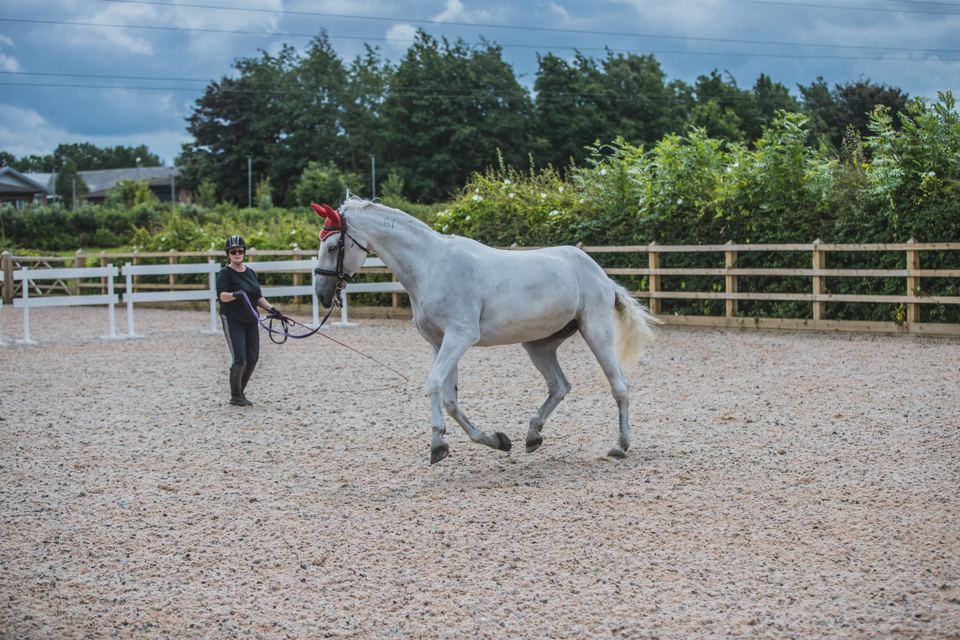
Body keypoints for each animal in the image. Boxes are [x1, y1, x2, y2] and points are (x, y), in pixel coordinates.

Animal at [311, 198, 661, 464]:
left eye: (333, 245)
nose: (323, 294)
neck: (431, 266)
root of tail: (600, 274)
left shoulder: (460, 336)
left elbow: (434, 384)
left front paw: (439, 446)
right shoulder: (439, 342)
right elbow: (449, 397)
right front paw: (495, 440)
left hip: (595, 331)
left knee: (619, 386)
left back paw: (619, 446)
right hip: (539, 345)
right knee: (559, 386)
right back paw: (532, 436)